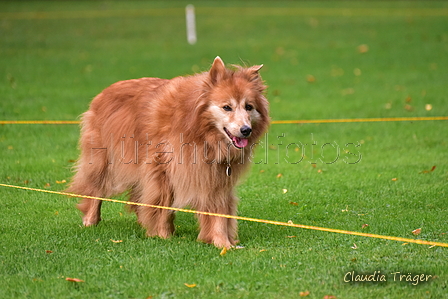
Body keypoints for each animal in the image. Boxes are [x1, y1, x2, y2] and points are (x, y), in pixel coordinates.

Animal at [66, 56, 270, 248]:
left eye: (249, 107)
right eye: (227, 107)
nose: (246, 130)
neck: (199, 130)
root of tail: (105, 91)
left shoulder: (216, 176)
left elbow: (219, 211)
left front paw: (223, 243)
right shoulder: (161, 169)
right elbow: (163, 205)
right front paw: (163, 235)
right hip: (103, 159)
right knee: (95, 188)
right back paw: (91, 220)